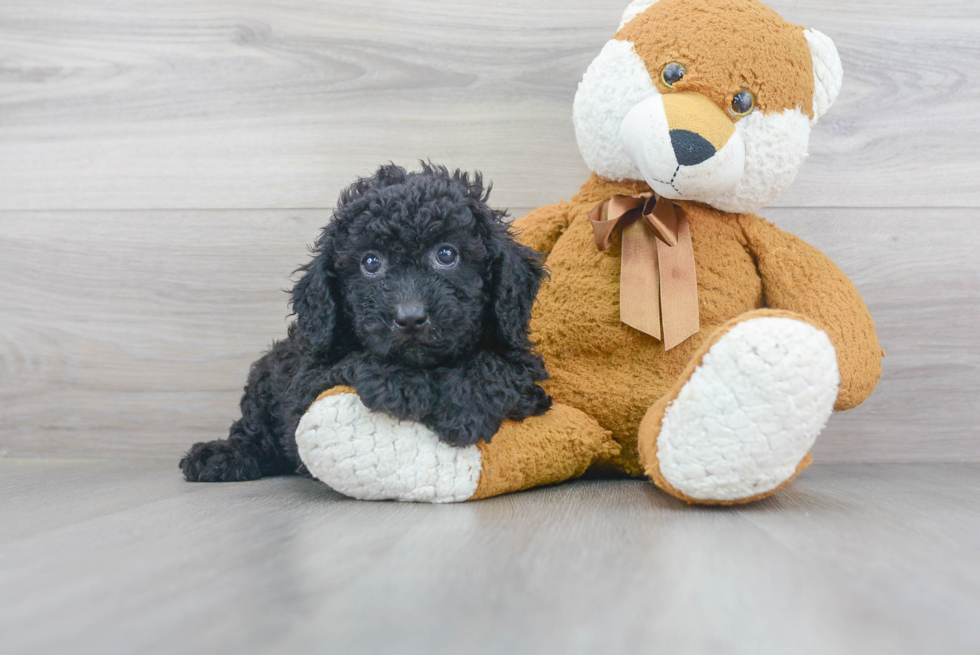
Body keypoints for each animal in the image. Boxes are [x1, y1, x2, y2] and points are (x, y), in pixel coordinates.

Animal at [182, 164, 552, 482]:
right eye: (371, 263)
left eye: (447, 255)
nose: (410, 318)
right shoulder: (304, 383)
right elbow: (353, 360)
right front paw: (403, 384)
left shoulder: (526, 371)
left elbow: (492, 364)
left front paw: (465, 407)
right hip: (267, 375)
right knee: (255, 430)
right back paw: (221, 456)